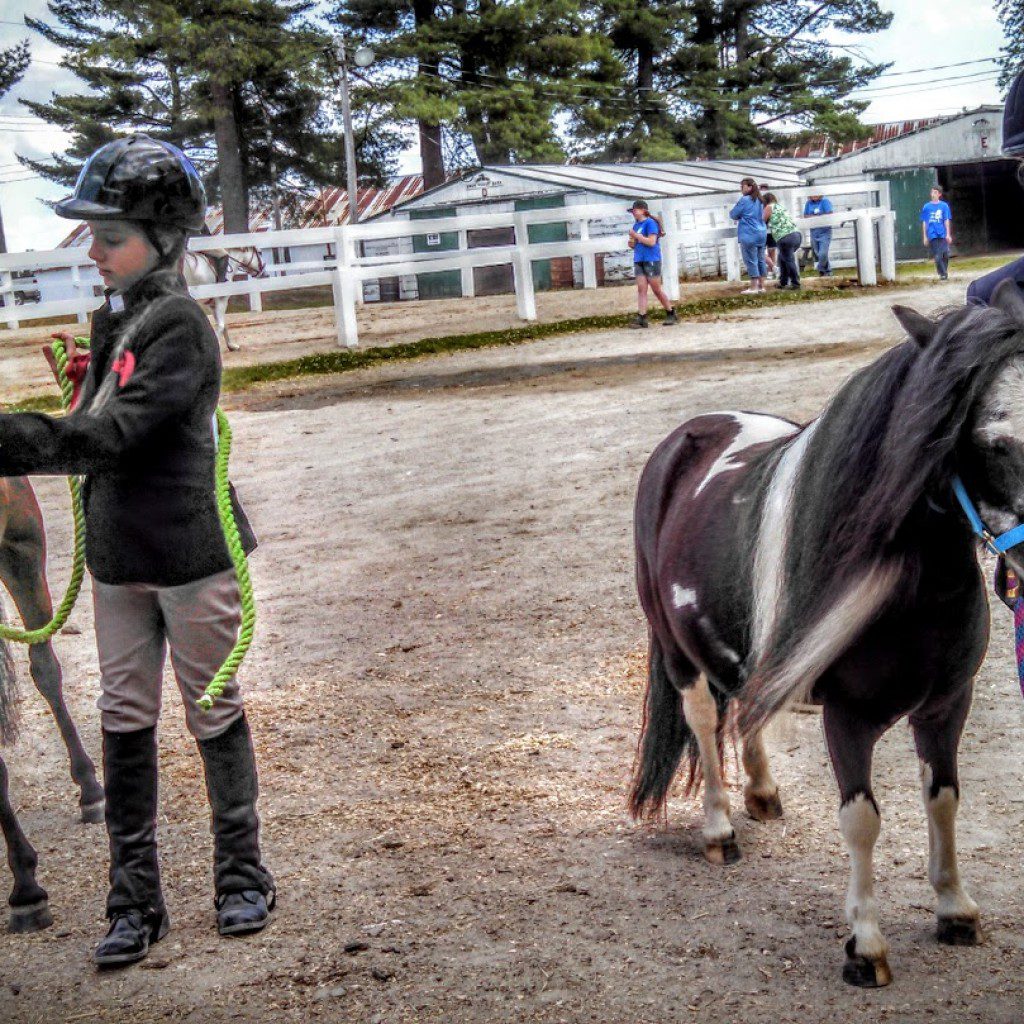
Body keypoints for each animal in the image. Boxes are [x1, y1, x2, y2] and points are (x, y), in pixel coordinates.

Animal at [622, 284, 1024, 987]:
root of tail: (687, 436)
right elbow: (861, 820)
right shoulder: (849, 717)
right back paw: (720, 830)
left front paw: (955, 910)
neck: (911, 591)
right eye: (994, 441)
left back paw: (762, 795)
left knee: (747, 710)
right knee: (705, 721)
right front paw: (865, 945)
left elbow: (944, 800)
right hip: (677, 654)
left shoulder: (948, 704)